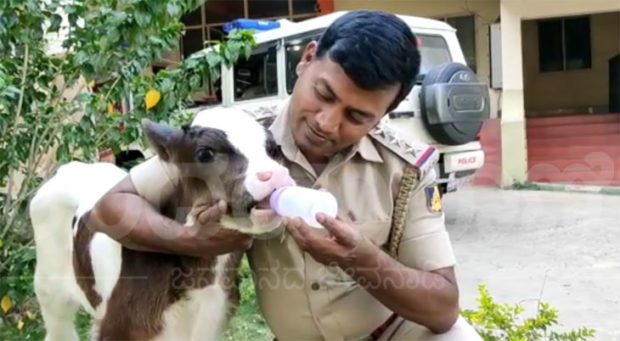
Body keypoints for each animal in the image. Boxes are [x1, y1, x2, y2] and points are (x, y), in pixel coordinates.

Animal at [30, 108, 296, 340]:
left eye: (272, 149)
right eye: (205, 153)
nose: (276, 175)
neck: (201, 282)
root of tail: (71, 168)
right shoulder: (114, 328)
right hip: (49, 293)